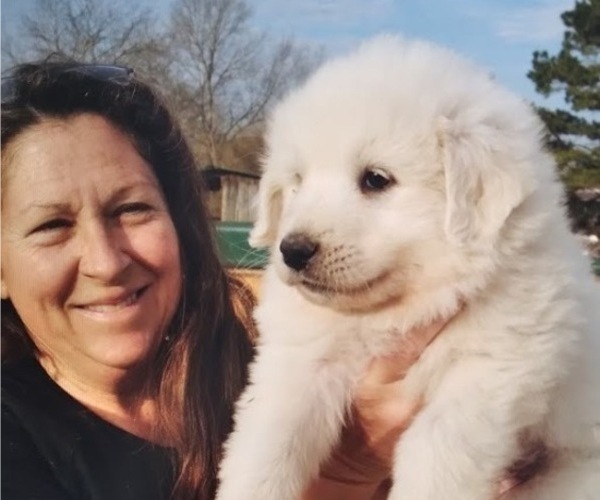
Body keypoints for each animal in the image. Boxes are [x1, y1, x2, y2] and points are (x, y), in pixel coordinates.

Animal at [217, 36, 600, 500]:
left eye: (376, 179)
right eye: (297, 182)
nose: (293, 250)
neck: (397, 309)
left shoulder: (487, 374)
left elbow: (435, 453)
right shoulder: (300, 360)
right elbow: (268, 442)